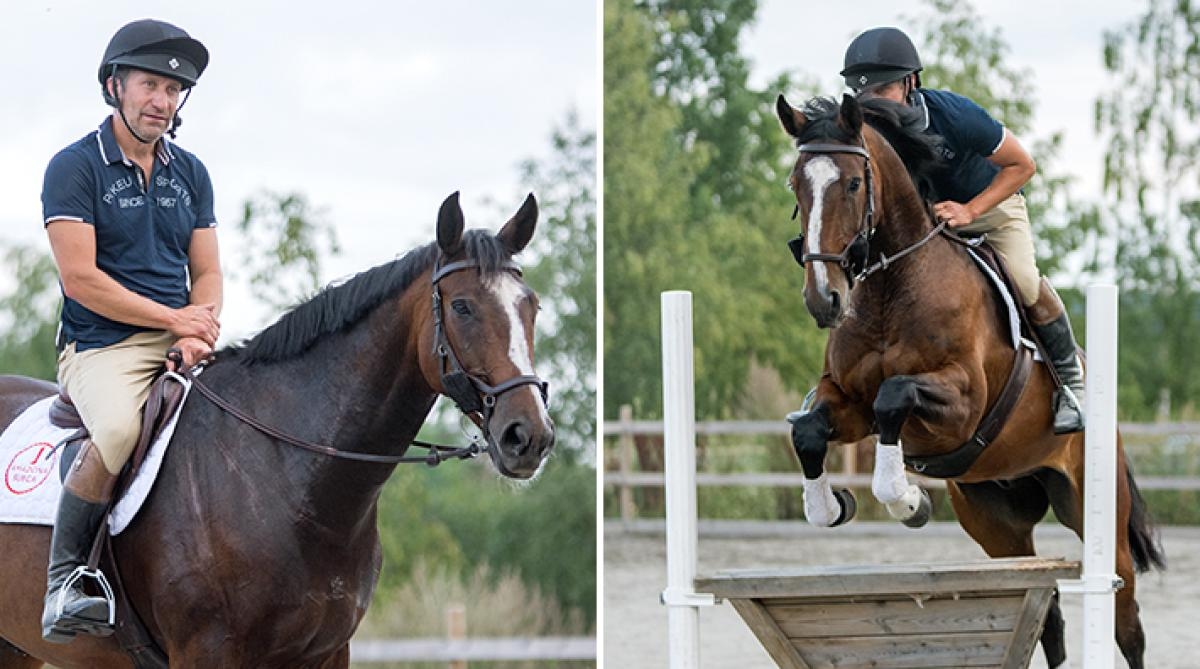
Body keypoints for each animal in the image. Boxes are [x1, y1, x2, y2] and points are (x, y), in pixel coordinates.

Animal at [0, 191, 554, 666]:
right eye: (462, 307)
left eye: (532, 306)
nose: (529, 436)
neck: (291, 481)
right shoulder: (207, 652)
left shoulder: (328, 653)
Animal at [777, 95, 1161, 669]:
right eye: (796, 184)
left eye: (852, 183)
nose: (825, 300)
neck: (892, 287)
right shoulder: (846, 401)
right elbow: (809, 431)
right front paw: (830, 506)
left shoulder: (960, 405)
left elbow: (894, 398)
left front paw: (908, 501)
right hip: (997, 522)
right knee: (1048, 616)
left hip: (1096, 510)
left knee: (1127, 620)